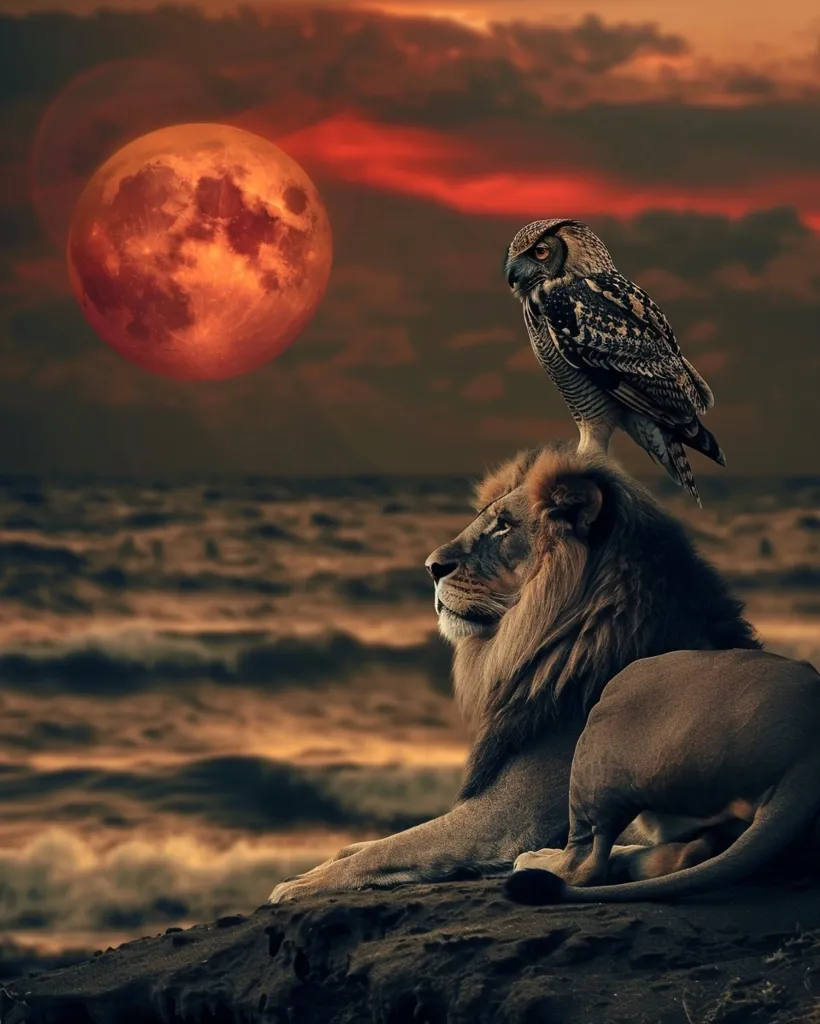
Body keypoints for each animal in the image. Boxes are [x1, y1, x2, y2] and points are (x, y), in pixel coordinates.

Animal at [269, 442, 759, 903]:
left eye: (504, 524)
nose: (430, 567)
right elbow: (364, 844)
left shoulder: (502, 817)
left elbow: (390, 847)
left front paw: (297, 885)